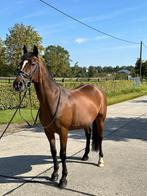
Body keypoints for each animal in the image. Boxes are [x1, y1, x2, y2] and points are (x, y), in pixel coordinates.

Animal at [13, 46, 107, 188]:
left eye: (33, 63)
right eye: (20, 63)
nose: (18, 84)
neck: (53, 99)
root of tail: (97, 89)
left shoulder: (63, 132)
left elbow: (63, 154)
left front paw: (63, 179)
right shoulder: (48, 131)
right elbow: (54, 152)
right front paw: (54, 175)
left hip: (100, 119)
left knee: (100, 138)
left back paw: (100, 161)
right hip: (86, 122)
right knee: (88, 135)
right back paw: (85, 156)